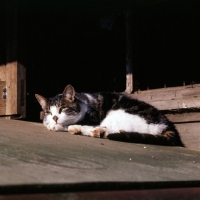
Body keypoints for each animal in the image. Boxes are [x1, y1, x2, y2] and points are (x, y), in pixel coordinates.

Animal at [35, 83, 184, 146]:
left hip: (118, 113)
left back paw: (78, 129)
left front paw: (56, 126)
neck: (82, 101)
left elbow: (71, 123)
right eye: (48, 112)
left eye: (63, 108)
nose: (54, 118)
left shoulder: (93, 119)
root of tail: (167, 125)